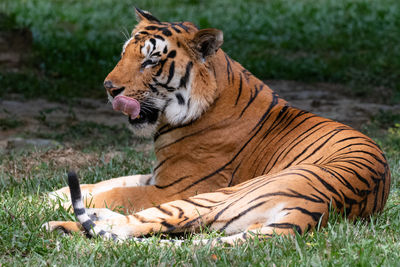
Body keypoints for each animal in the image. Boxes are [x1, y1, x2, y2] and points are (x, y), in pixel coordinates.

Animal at [43, 7, 390, 247]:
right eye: (123, 53)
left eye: (151, 61)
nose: (109, 88)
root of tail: (315, 208)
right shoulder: (157, 174)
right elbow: (105, 183)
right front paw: (49, 195)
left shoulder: (174, 186)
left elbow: (115, 192)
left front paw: (39, 202)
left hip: (211, 197)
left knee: (129, 226)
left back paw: (56, 226)